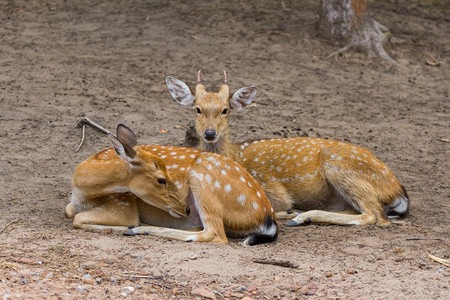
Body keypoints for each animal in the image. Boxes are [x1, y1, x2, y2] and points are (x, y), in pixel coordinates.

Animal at [65, 123, 278, 245]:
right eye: (161, 179)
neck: (81, 193)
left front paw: (126, 227)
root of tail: (267, 217)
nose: (186, 209)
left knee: (215, 234)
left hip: (203, 180)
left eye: (168, 175)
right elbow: (69, 211)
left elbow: (78, 219)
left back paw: (139, 229)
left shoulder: (122, 204)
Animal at [166, 71, 412, 225]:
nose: (209, 133)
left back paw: (301, 216)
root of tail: (397, 189)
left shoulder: (272, 189)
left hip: (339, 166)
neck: (235, 155)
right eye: (197, 109)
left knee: (375, 216)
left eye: (225, 109)